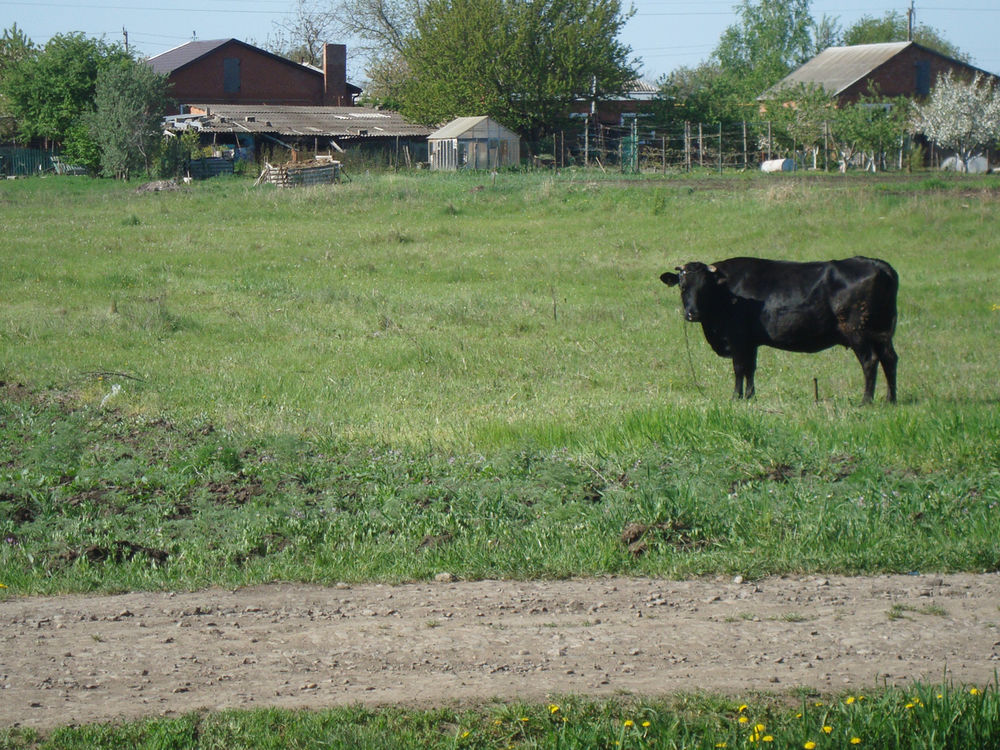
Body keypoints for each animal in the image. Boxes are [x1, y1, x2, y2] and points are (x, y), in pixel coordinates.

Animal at [664, 256, 900, 402]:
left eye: (704, 287)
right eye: (683, 287)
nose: (692, 314)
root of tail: (878, 265)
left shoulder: (738, 339)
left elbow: (739, 368)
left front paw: (735, 397)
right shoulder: (750, 342)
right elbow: (751, 369)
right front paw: (750, 396)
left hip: (857, 332)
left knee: (870, 361)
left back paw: (866, 400)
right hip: (882, 333)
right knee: (889, 359)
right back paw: (890, 399)